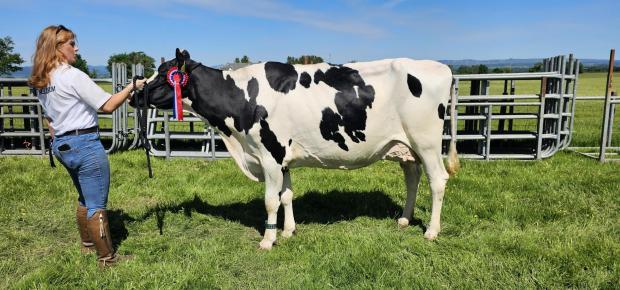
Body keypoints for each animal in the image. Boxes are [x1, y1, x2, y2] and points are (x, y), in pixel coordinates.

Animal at [137, 49, 456, 249]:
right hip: (406, 147)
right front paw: (289, 230)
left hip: (426, 142)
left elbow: (270, 201)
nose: (136, 93)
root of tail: (440, 66)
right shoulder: (283, 158)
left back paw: (431, 231)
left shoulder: (269, 154)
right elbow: (287, 196)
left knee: (437, 181)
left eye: (164, 73)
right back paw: (404, 219)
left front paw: (268, 240)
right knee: (413, 178)